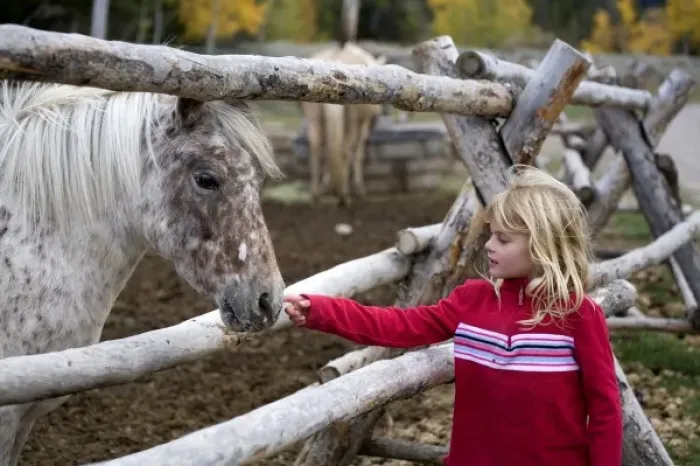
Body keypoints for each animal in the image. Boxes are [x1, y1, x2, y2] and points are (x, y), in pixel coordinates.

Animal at [300, 42, 386, 206]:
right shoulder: (363, 126)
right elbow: (358, 152)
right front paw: (357, 188)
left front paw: (327, 183)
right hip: (353, 121)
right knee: (346, 148)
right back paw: (344, 195)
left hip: (314, 118)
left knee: (317, 147)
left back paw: (316, 193)